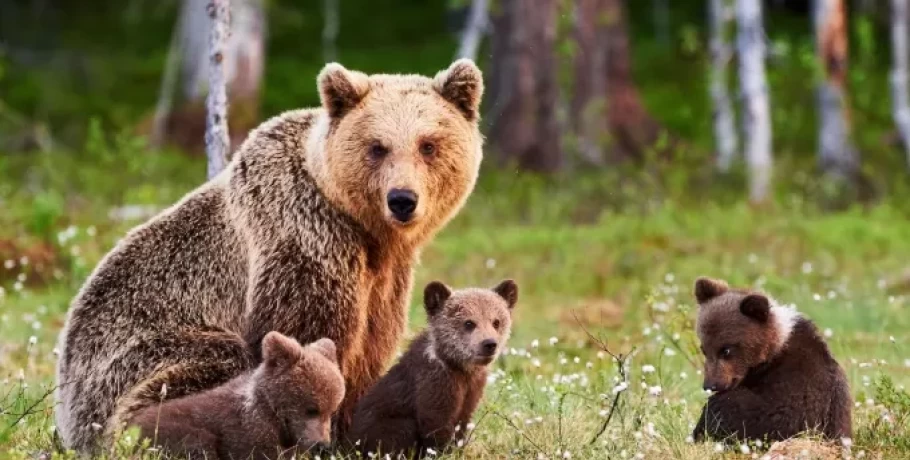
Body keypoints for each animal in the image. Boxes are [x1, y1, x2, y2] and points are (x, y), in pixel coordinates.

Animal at [52, 58, 484, 452]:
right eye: (377, 146)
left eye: (428, 145)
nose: (402, 199)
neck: (364, 229)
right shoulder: (304, 239)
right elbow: (306, 337)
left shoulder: (385, 277)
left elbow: (370, 348)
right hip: (130, 360)